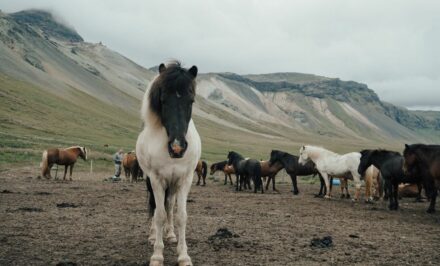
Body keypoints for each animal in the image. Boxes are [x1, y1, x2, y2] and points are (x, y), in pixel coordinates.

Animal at [136, 60, 201, 266]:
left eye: (191, 101)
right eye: (163, 100)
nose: (177, 147)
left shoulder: (185, 179)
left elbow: (180, 216)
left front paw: (183, 255)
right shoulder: (156, 179)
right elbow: (159, 215)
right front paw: (157, 255)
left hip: (172, 185)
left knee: (170, 205)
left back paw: (171, 235)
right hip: (151, 181)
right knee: (156, 206)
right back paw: (152, 236)